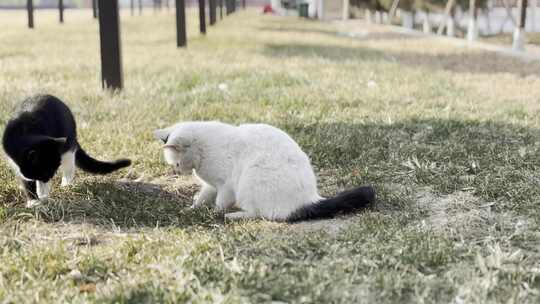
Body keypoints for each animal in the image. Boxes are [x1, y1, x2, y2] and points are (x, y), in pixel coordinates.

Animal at [2, 94, 132, 207]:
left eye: (53, 170)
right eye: (46, 171)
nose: (50, 177)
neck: (24, 132)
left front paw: (42, 197)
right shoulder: (16, 162)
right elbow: (27, 182)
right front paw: (33, 201)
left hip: (67, 144)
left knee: (69, 164)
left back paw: (66, 185)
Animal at [153, 121, 376, 221]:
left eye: (176, 164)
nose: (177, 172)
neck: (203, 153)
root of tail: (310, 199)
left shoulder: (226, 186)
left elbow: (220, 203)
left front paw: (214, 212)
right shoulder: (211, 186)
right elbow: (202, 197)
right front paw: (192, 209)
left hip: (249, 180)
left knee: (260, 214)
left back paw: (234, 215)